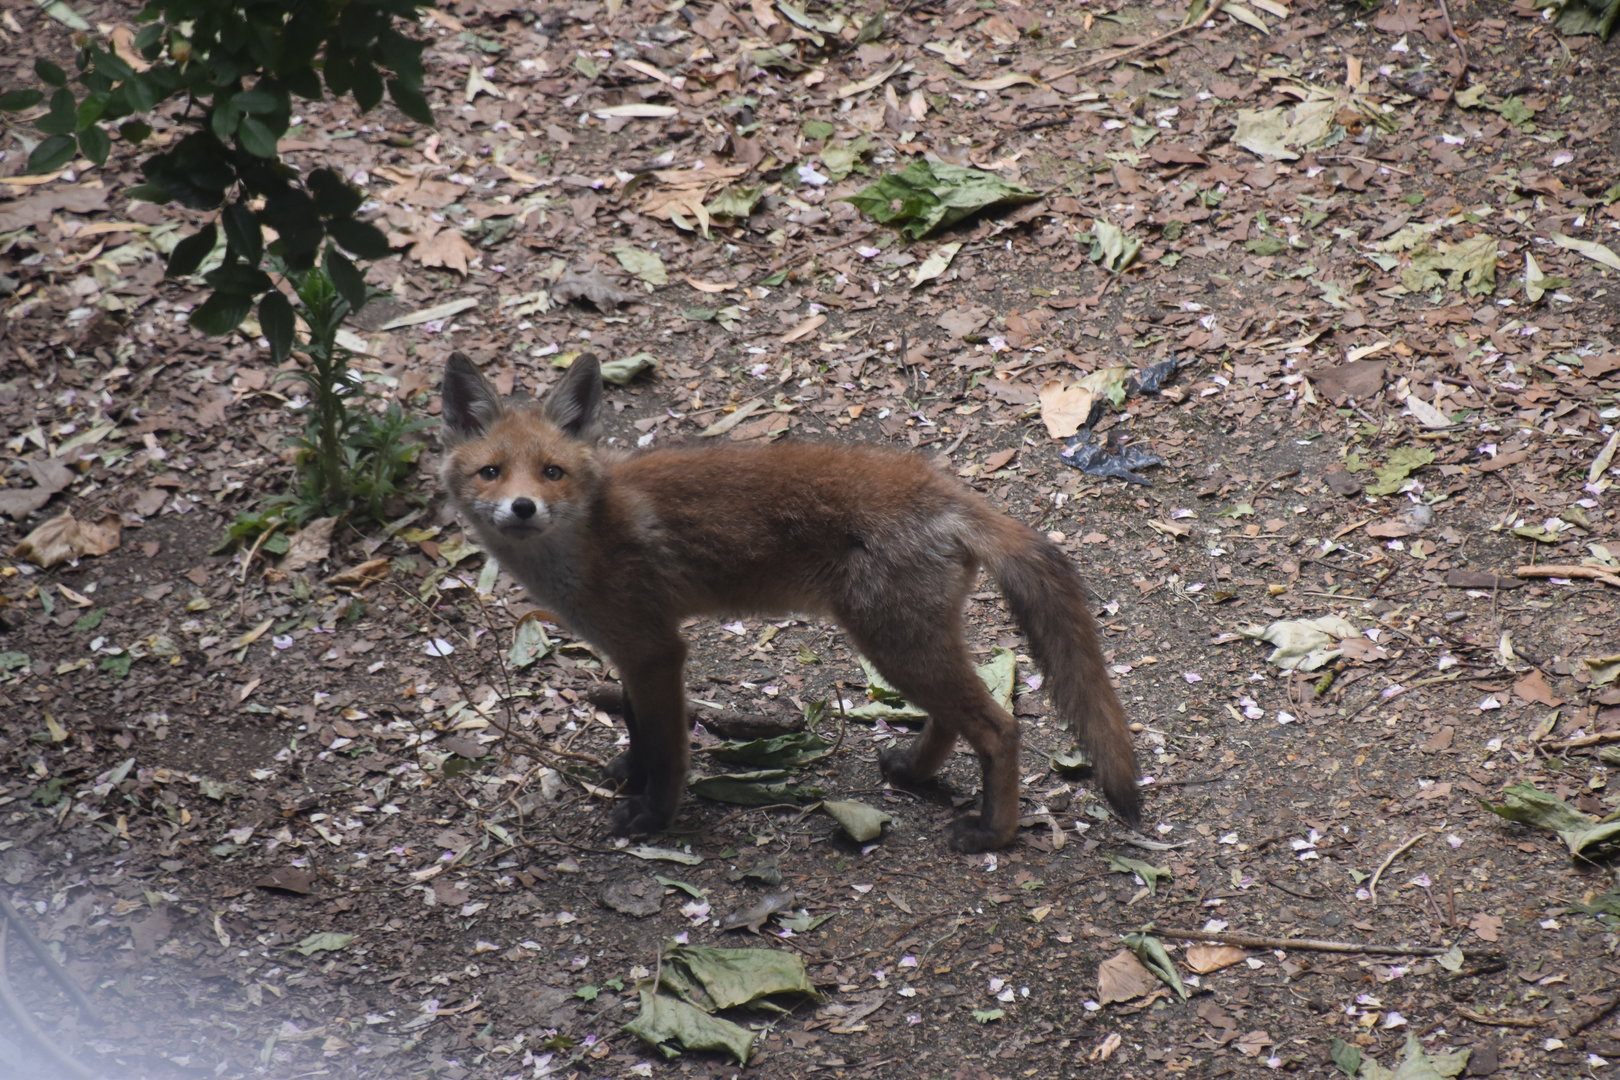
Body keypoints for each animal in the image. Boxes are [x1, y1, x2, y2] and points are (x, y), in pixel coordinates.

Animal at [437, 352, 1140, 852]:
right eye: (491, 472)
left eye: (551, 472)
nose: (522, 508)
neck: (587, 538)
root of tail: (945, 489)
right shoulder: (629, 651)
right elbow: (637, 726)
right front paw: (629, 775)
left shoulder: (657, 651)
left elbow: (667, 748)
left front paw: (654, 815)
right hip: (908, 643)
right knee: (958, 717)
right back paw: (914, 773)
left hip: (892, 643)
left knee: (1000, 727)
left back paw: (994, 834)